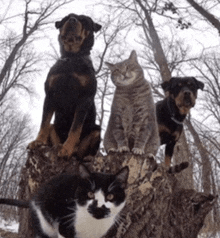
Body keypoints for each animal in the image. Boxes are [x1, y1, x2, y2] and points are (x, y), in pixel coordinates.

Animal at [0, 165, 129, 238]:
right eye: (90, 194)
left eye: (110, 196)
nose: (98, 208)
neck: (92, 224)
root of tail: (32, 199)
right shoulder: (65, 228)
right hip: (44, 224)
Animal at [27, 13, 102, 160]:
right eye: (67, 18)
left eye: (85, 21)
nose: (72, 20)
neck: (71, 58)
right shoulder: (50, 95)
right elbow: (44, 122)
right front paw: (38, 142)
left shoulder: (84, 99)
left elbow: (75, 127)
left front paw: (67, 149)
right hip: (54, 128)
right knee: (50, 128)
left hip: (96, 131)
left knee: (84, 152)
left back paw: (86, 156)